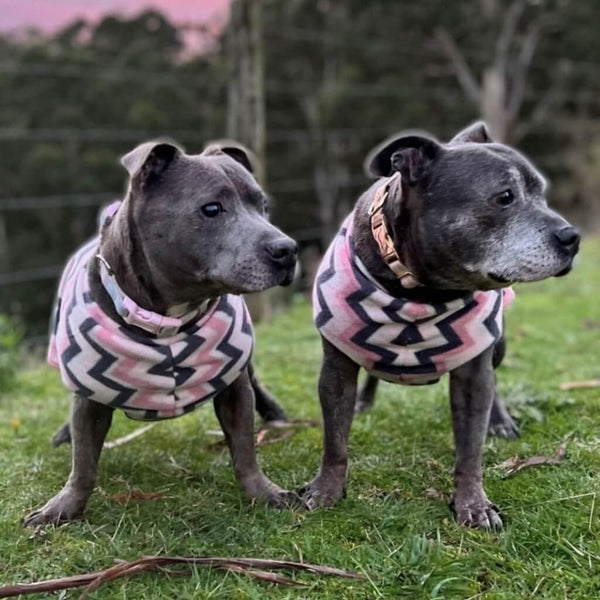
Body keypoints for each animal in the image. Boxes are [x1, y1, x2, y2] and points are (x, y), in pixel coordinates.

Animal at [25, 141, 302, 524]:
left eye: (263, 206)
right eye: (211, 209)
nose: (287, 249)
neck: (167, 320)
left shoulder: (234, 387)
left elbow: (245, 448)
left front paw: (264, 493)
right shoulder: (89, 397)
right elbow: (83, 463)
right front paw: (63, 508)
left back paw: (274, 412)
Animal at [300, 123, 580, 528]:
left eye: (542, 194)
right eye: (505, 197)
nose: (572, 237)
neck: (419, 289)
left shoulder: (474, 375)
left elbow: (470, 448)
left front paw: (473, 504)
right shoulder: (336, 369)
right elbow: (334, 439)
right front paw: (326, 490)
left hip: (498, 346)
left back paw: (499, 421)